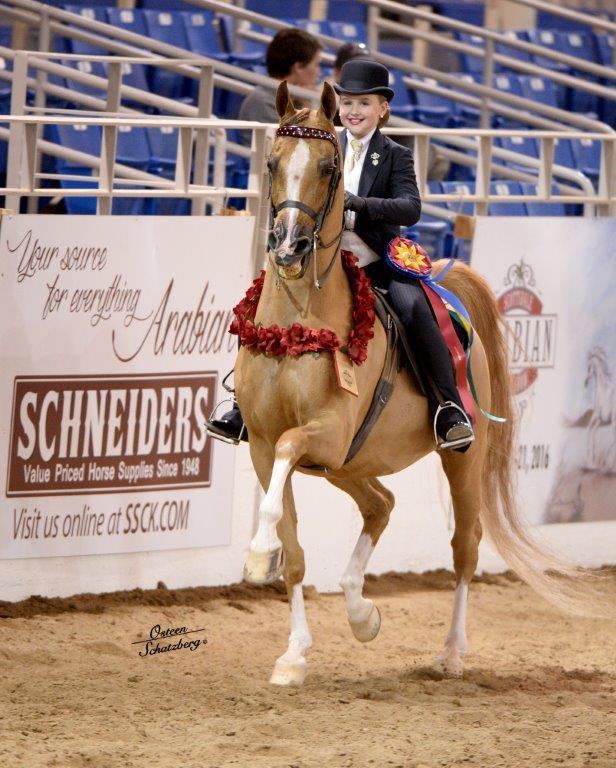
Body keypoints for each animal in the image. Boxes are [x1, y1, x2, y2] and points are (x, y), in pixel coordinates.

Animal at [234, 81, 609, 686]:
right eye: (271, 162)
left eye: (329, 167)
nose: (289, 248)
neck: (295, 325)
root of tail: (446, 288)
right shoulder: (263, 448)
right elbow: (293, 550)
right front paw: (293, 655)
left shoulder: (324, 434)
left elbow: (287, 466)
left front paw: (255, 553)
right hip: (352, 463)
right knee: (381, 505)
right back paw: (362, 613)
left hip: (458, 457)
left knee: (464, 546)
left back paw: (451, 652)